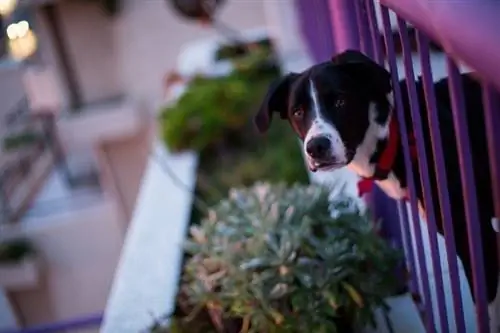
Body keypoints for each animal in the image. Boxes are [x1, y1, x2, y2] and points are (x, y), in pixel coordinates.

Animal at [256, 48, 500, 330]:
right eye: (297, 111)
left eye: (340, 101)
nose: (316, 147)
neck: (398, 135)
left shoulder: (477, 236)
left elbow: (488, 311)